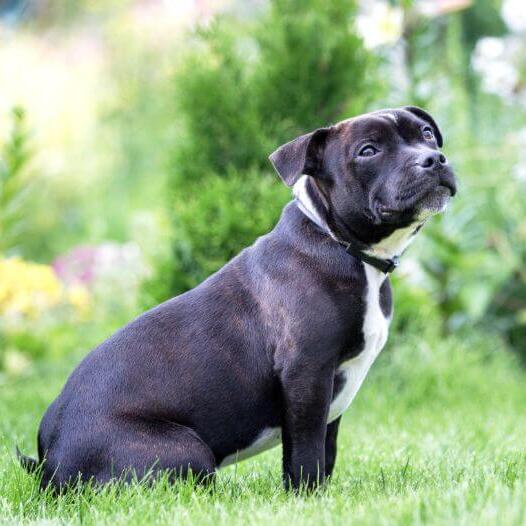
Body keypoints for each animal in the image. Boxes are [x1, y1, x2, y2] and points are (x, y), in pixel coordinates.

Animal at [19, 105, 458, 492]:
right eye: (368, 151)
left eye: (426, 134)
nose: (433, 158)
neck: (340, 243)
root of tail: (49, 459)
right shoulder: (306, 373)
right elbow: (306, 451)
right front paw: (308, 497)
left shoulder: (334, 391)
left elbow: (326, 447)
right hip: (186, 450)